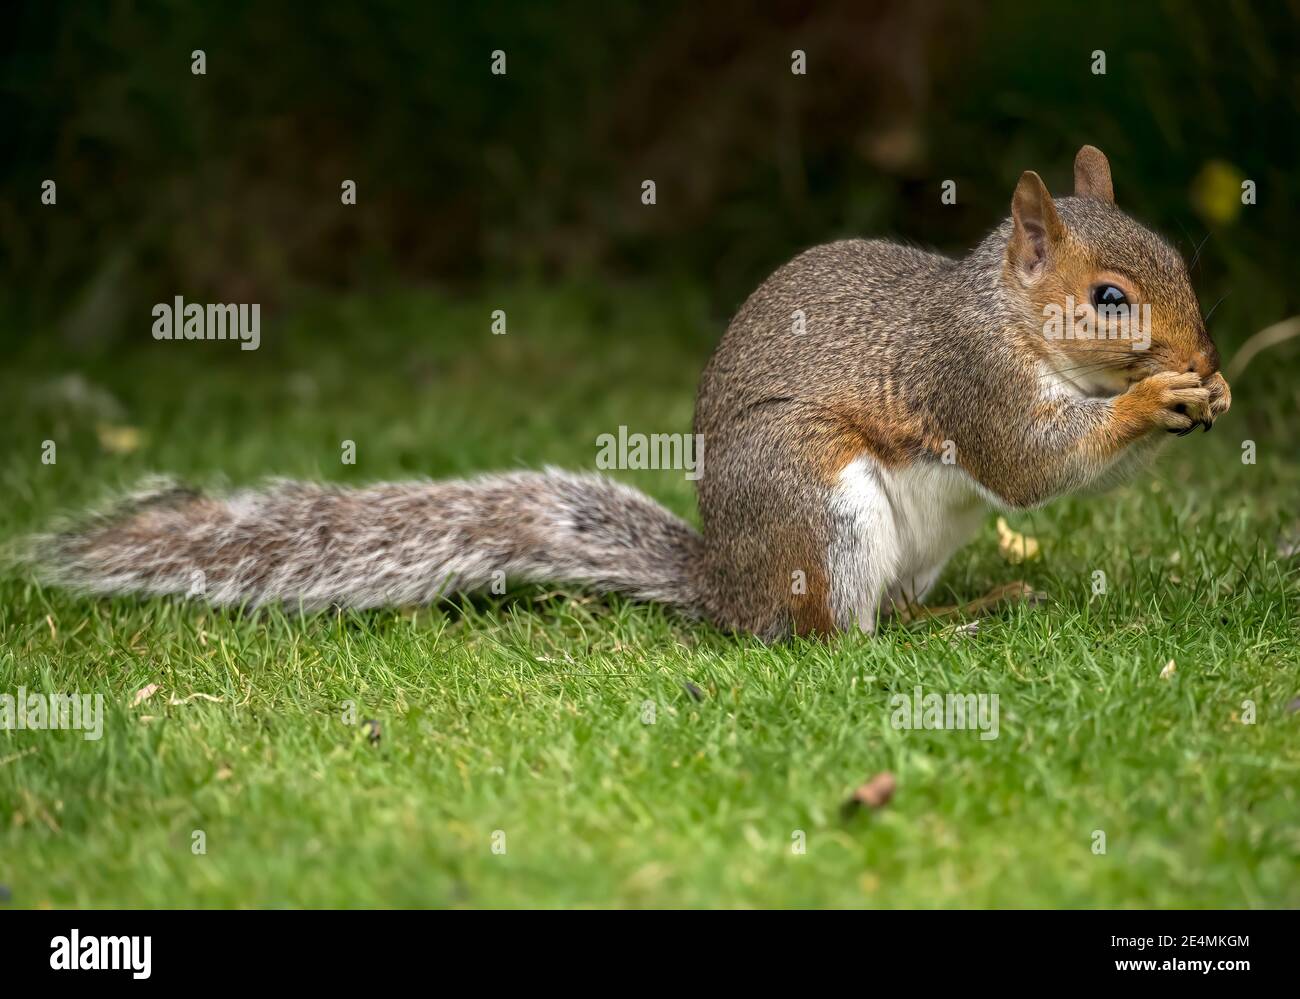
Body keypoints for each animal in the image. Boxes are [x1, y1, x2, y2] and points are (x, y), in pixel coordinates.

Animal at [30, 146, 1227, 639]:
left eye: (1179, 256)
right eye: (1110, 298)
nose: (1206, 350)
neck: (1010, 319)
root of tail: (726, 584)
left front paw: (1207, 390)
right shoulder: (964, 374)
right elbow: (1027, 464)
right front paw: (1153, 401)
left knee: (891, 606)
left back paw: (974, 606)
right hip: (816, 503)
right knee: (832, 638)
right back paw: (927, 639)